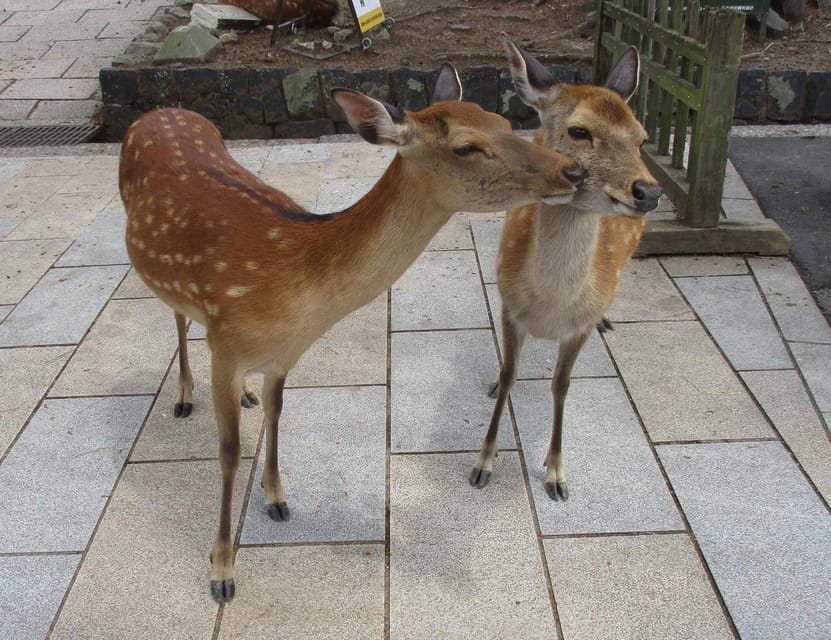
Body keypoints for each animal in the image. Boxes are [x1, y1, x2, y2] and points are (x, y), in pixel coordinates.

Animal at [119, 63, 586, 604]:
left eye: (505, 120)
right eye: (467, 146)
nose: (573, 171)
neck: (293, 295)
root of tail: (159, 109)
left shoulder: (285, 354)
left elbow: (278, 413)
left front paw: (277, 498)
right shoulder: (228, 343)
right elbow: (230, 454)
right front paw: (221, 571)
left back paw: (244, 397)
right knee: (176, 314)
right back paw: (183, 395)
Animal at [469, 36, 663, 501]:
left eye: (642, 137)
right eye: (580, 131)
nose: (649, 191)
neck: (551, 308)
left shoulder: (579, 327)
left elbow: (561, 384)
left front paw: (556, 473)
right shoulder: (509, 308)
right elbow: (510, 373)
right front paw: (484, 461)